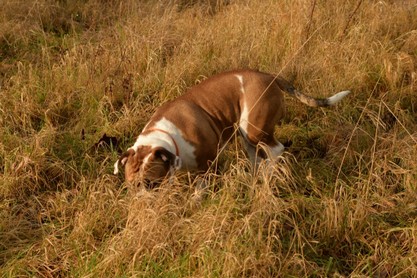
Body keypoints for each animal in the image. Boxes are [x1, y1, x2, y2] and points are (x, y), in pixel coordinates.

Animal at [113, 68, 348, 184]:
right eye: (132, 186)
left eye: (151, 183)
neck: (166, 138)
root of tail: (270, 77)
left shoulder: (209, 164)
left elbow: (201, 187)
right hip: (247, 135)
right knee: (257, 157)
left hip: (254, 129)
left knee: (276, 150)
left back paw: (269, 177)